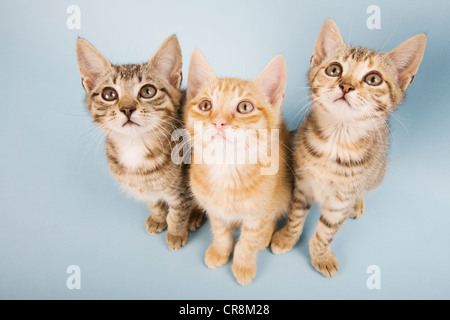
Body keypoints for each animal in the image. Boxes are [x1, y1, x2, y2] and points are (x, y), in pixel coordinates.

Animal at [77, 36, 204, 251]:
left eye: (147, 91)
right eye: (109, 94)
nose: (127, 108)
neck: (136, 145)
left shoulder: (184, 188)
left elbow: (178, 210)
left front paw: (176, 233)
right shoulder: (145, 187)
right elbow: (154, 203)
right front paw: (158, 218)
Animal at [185, 50, 294, 284]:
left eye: (245, 107)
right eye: (205, 105)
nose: (218, 122)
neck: (227, 168)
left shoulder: (259, 212)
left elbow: (248, 241)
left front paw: (243, 265)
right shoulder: (214, 210)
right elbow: (220, 232)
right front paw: (220, 250)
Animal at [270, 19, 426, 278]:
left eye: (373, 79)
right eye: (334, 70)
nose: (345, 86)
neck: (335, 141)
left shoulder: (340, 200)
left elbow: (326, 231)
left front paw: (321, 255)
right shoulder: (302, 185)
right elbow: (296, 214)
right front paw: (287, 237)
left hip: (378, 171)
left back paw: (358, 203)